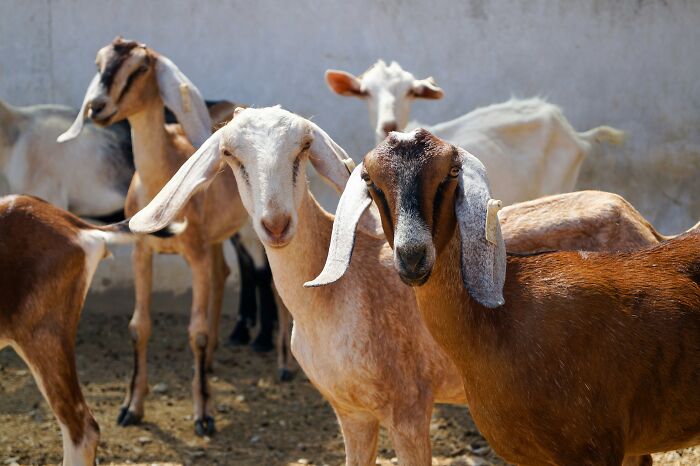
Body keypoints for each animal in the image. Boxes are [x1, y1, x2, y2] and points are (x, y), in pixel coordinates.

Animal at [58, 37, 249, 436]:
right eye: (99, 63)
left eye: (141, 67)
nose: (98, 107)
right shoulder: (142, 253)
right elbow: (138, 326)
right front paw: (131, 408)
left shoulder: (194, 255)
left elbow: (196, 332)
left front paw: (204, 415)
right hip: (214, 241)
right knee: (222, 274)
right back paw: (210, 363)